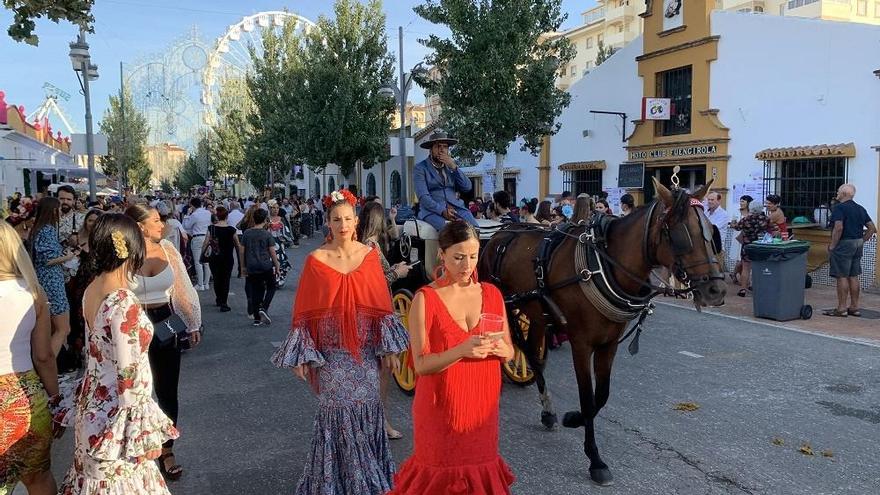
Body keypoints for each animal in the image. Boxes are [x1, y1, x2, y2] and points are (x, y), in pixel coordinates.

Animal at [478, 178, 724, 484]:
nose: (716, 290)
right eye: (682, 234)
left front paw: (573, 418)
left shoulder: (609, 343)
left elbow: (602, 395)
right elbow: (587, 397)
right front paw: (594, 458)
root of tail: (500, 234)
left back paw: (547, 410)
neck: (601, 267)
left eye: (711, 231)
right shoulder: (581, 344)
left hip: (535, 313)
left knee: (534, 354)